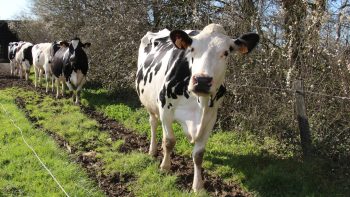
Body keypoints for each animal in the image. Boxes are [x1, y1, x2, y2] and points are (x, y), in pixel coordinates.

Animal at [135, 23, 258, 192]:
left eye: (226, 52)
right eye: (192, 49)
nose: (202, 80)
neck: (199, 104)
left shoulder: (210, 117)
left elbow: (199, 154)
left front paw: (198, 185)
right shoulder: (165, 108)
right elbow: (169, 141)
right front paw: (165, 167)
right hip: (150, 103)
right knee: (153, 123)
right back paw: (152, 151)